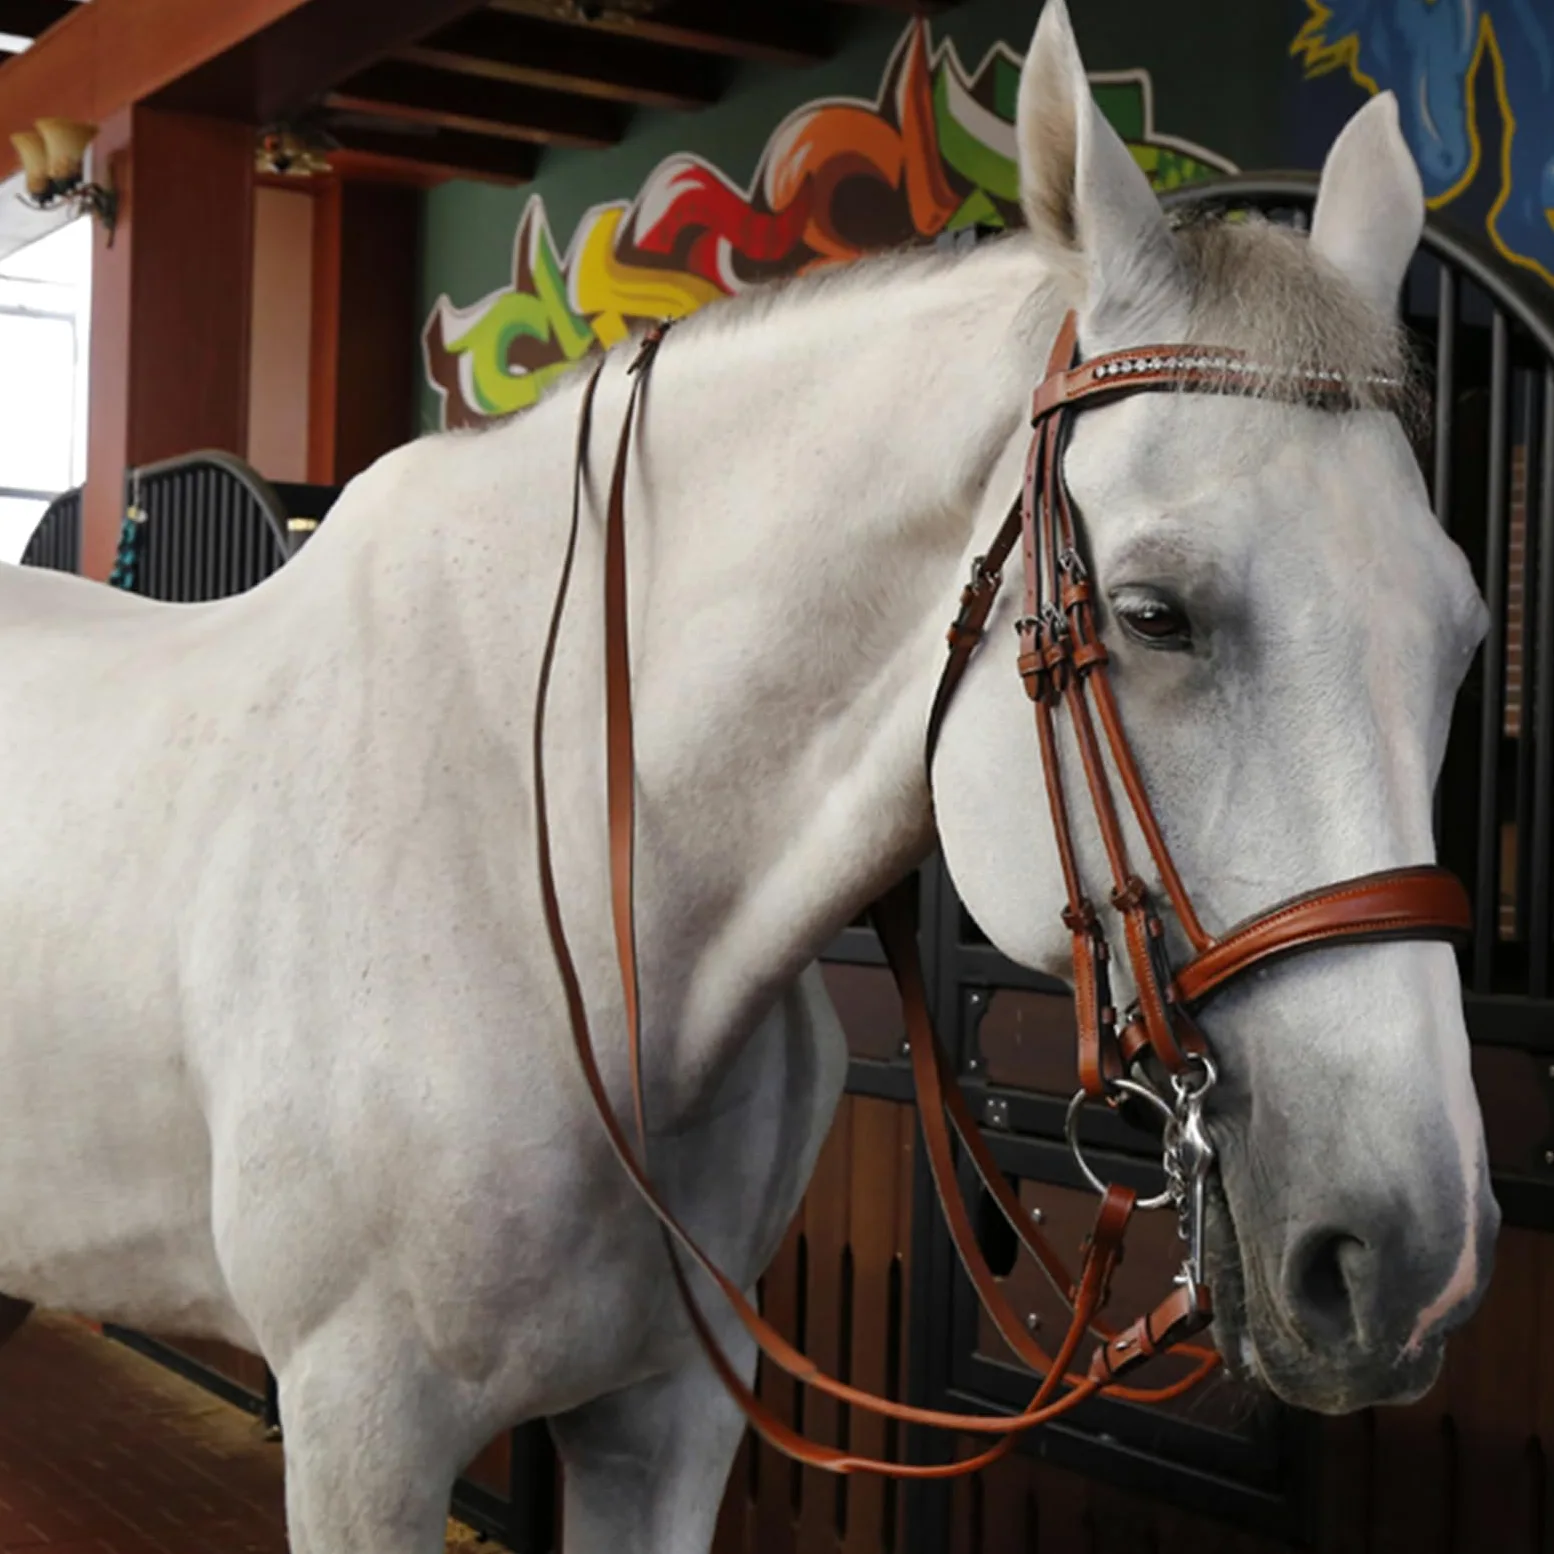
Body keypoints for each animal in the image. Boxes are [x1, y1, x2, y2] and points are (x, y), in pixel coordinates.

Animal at [0, 2, 1498, 1548]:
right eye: (1154, 614)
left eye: (1464, 635)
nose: (1412, 1258)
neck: (563, 904)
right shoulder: (361, 1435)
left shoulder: (666, 1419)